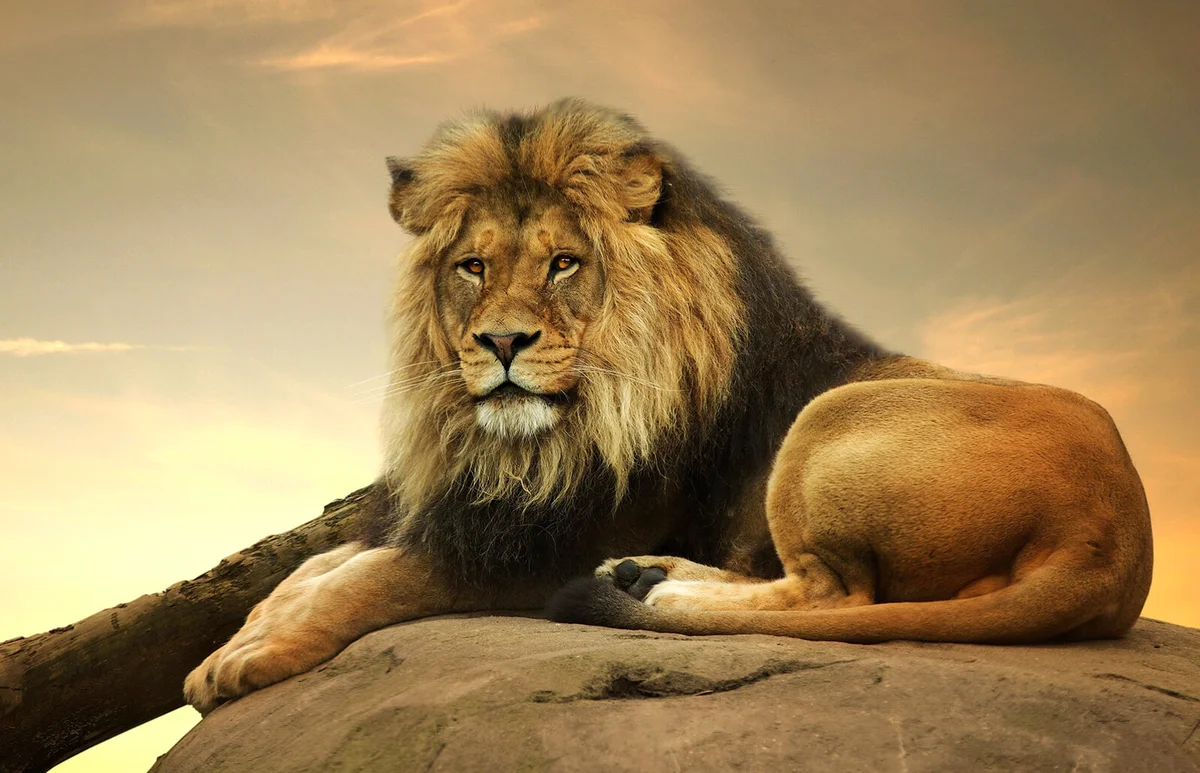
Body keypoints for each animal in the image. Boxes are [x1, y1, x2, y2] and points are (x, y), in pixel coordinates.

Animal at [184, 99, 1153, 715]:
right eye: (472, 267)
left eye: (563, 264)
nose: (501, 343)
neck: (534, 443)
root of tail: (1114, 540)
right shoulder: (473, 509)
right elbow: (317, 567)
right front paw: (237, 640)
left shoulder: (539, 545)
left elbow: (375, 577)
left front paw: (253, 656)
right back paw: (647, 577)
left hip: (827, 422)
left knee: (833, 593)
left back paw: (652, 584)